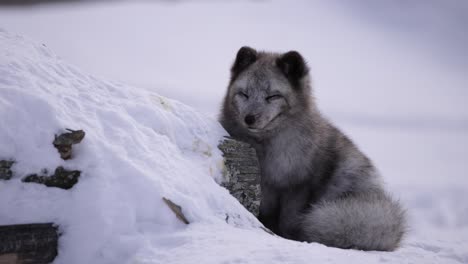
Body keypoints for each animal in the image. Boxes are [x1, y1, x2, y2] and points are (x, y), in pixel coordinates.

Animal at [219, 46, 406, 251]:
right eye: (244, 94)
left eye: (273, 96)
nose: (249, 118)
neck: (266, 149)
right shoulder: (266, 188)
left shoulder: (298, 185)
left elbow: (289, 220)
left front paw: (291, 238)